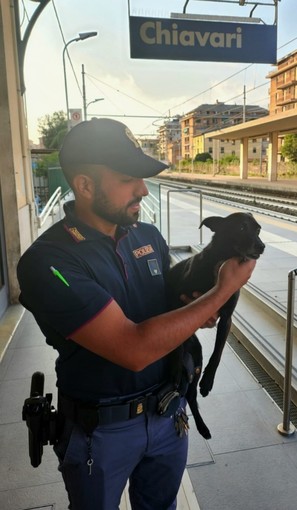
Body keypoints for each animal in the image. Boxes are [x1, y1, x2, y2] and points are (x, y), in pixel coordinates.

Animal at [165, 211, 264, 438]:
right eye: (241, 227)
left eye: (258, 229)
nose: (261, 246)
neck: (220, 261)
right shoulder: (176, 305)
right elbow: (176, 346)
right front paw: (175, 369)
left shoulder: (227, 319)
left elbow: (218, 352)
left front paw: (208, 381)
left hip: (197, 358)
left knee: (191, 395)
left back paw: (202, 427)